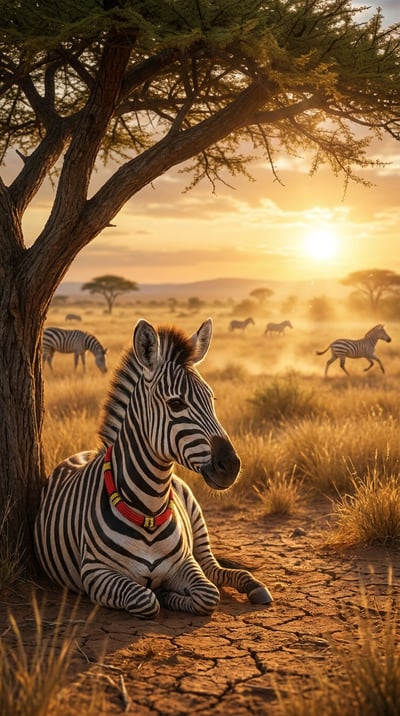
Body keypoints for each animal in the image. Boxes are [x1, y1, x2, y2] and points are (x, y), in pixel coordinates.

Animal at [34, 318, 273, 618]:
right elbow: (145, 598)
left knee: (214, 570)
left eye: (212, 400)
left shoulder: (185, 562)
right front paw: (165, 595)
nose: (230, 465)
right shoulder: (95, 573)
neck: (149, 506)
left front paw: (171, 594)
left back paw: (254, 585)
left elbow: (207, 595)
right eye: (176, 403)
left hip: (196, 518)